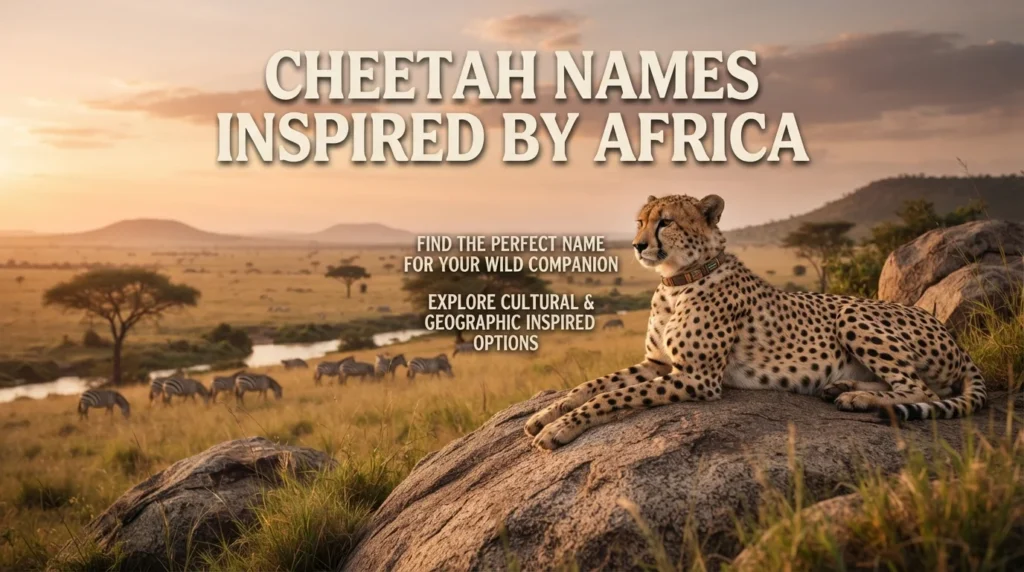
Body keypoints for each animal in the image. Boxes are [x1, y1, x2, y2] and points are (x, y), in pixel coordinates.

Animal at [526, 193, 987, 450]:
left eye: (665, 222)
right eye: (639, 221)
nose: (638, 245)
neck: (678, 280)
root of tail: (952, 337)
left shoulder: (697, 378)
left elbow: (611, 396)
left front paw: (562, 428)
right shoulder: (657, 364)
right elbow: (593, 384)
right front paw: (547, 414)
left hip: (853, 313)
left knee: (921, 389)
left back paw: (859, 399)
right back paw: (842, 388)